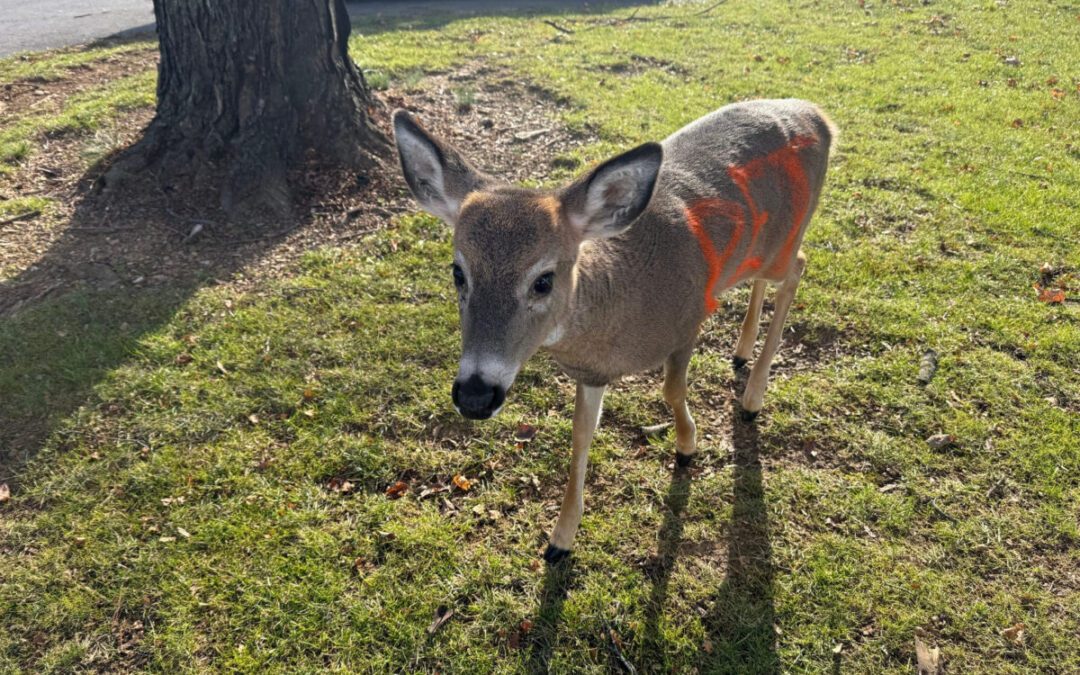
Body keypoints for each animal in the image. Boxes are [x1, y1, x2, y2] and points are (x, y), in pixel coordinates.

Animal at [393, 99, 837, 563]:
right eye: (458, 272)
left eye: (543, 280)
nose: (476, 395)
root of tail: (818, 116)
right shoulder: (592, 372)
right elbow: (581, 434)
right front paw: (561, 538)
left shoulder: (688, 318)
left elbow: (671, 389)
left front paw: (687, 446)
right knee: (765, 280)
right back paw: (741, 351)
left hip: (787, 236)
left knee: (798, 266)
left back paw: (752, 397)